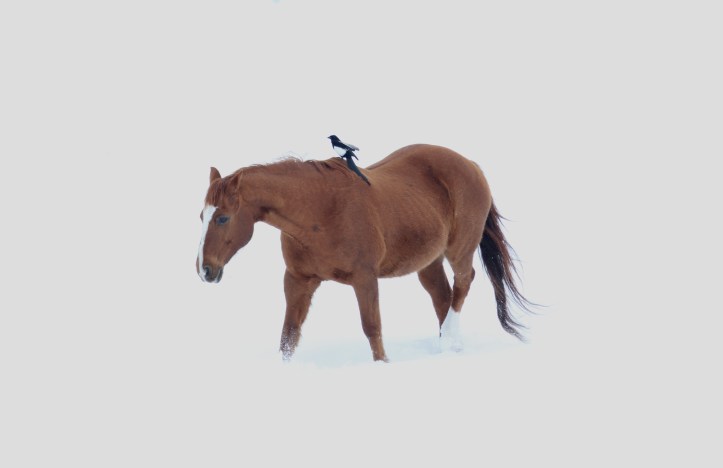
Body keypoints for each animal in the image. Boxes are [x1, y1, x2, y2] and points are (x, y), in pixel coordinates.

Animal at [196, 144, 532, 362]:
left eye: (222, 218)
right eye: (202, 216)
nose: (204, 270)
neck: (320, 211)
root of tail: (471, 164)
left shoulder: (365, 279)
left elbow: (372, 329)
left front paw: (382, 364)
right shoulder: (298, 280)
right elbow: (289, 335)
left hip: (459, 249)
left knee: (463, 283)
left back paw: (449, 336)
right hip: (428, 262)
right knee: (443, 297)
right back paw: (449, 346)